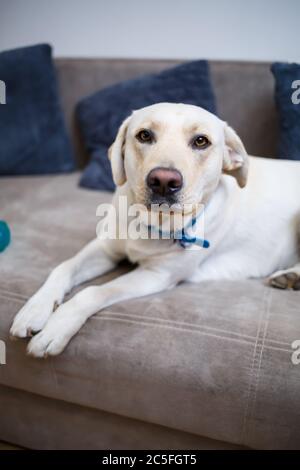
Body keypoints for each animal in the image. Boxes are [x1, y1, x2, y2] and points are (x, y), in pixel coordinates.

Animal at [10, 103, 300, 358]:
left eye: (201, 141)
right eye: (144, 135)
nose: (163, 181)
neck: (151, 222)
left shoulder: (157, 275)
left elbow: (92, 292)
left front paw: (55, 328)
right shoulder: (105, 247)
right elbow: (63, 268)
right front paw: (35, 308)